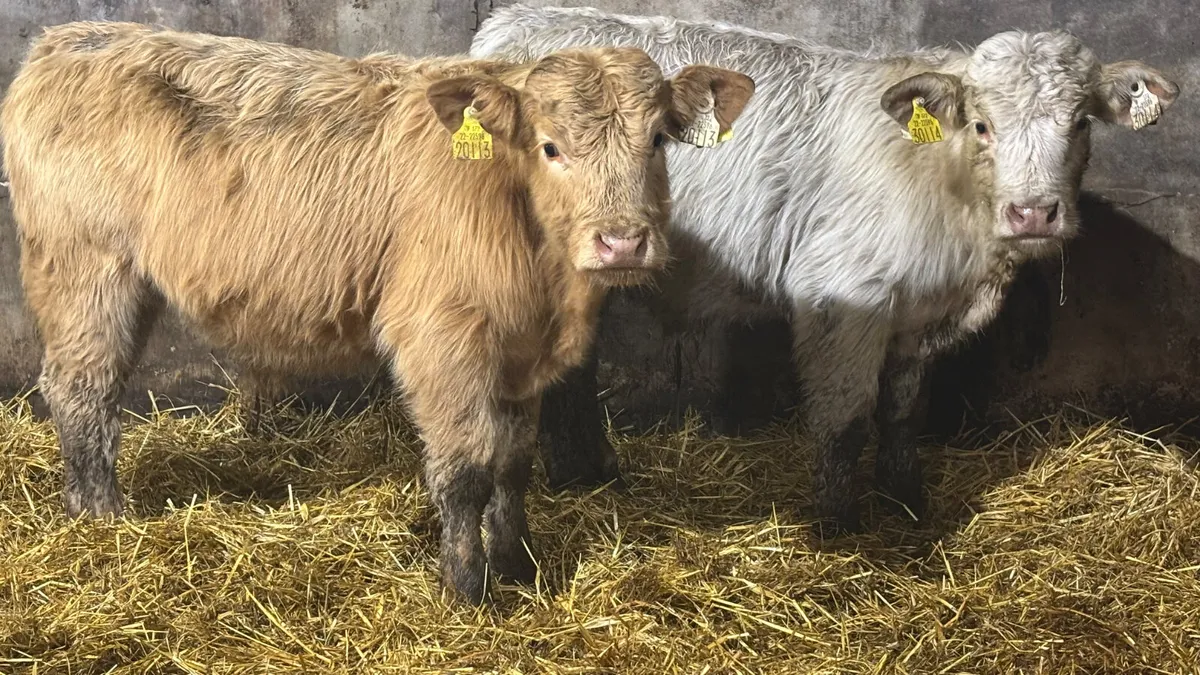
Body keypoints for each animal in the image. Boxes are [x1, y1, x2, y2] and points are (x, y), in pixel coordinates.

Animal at [0, 21, 755, 605]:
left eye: (657, 139)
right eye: (550, 145)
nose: (622, 240)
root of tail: (66, 40)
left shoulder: (519, 355)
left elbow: (513, 460)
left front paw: (519, 566)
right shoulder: (442, 337)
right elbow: (466, 467)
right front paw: (467, 586)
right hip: (86, 270)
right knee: (80, 390)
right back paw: (103, 517)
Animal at [471, 4, 1180, 537]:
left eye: (1081, 122)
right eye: (982, 125)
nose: (1033, 212)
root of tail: (510, 23)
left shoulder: (919, 315)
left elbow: (902, 409)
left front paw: (905, 501)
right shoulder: (844, 296)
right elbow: (845, 418)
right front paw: (841, 527)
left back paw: (588, 472)